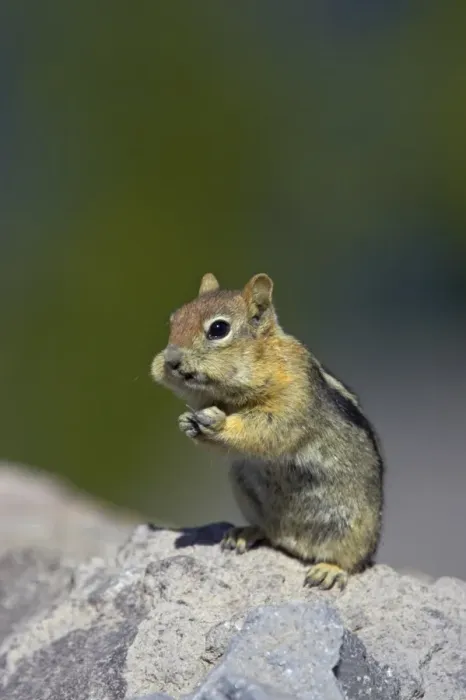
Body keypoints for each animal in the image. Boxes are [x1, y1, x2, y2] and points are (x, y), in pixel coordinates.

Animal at [151, 272, 384, 590]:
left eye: (218, 329)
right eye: (174, 320)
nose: (170, 361)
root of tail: (295, 544)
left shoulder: (291, 396)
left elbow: (266, 429)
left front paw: (218, 423)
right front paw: (188, 422)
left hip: (354, 528)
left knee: (350, 560)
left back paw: (328, 570)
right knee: (268, 533)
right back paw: (244, 534)